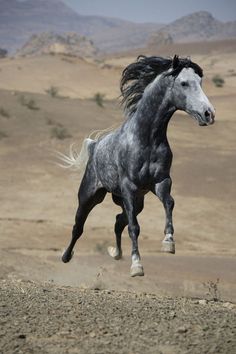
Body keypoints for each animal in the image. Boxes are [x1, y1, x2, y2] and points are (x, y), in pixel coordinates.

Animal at [60, 54, 215, 276]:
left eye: (200, 82)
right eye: (184, 83)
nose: (208, 114)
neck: (147, 138)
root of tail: (94, 146)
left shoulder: (161, 181)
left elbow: (169, 203)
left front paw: (168, 243)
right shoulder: (129, 187)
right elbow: (134, 227)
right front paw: (136, 266)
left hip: (134, 201)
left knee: (118, 221)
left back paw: (116, 253)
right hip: (90, 196)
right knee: (79, 226)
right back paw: (65, 256)